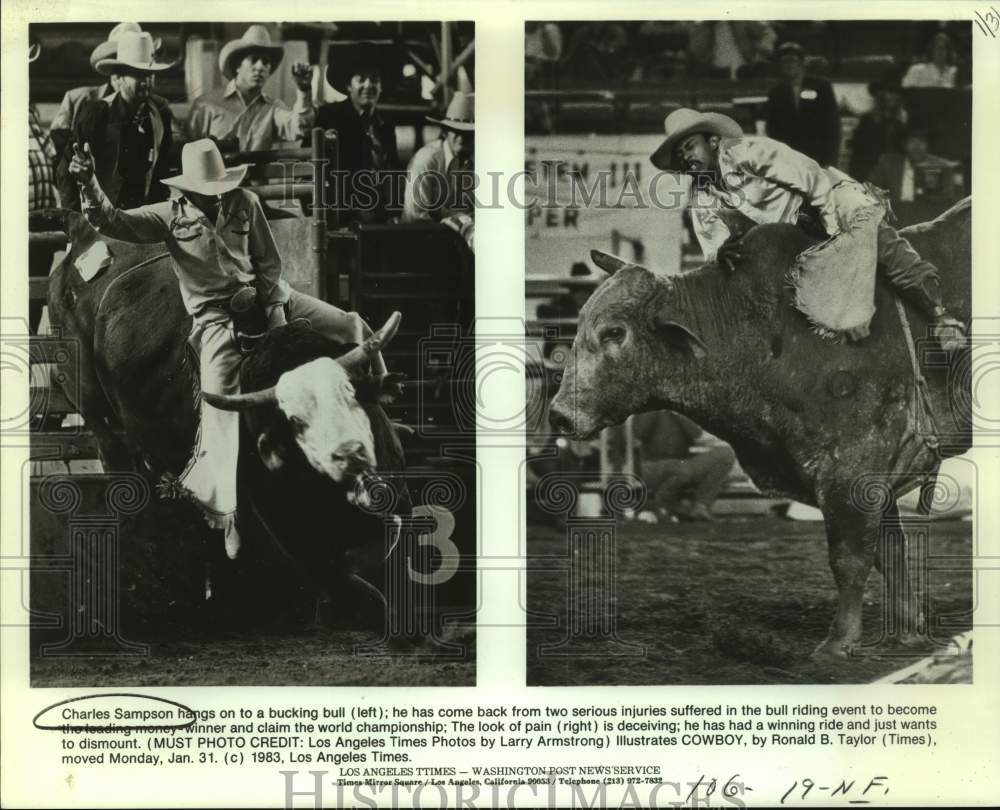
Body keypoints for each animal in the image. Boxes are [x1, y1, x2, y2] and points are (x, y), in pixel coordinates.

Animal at [548, 199, 968, 660]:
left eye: (614, 332)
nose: (560, 415)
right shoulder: (880, 467)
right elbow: (890, 551)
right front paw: (909, 631)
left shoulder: (853, 464)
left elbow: (851, 555)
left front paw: (837, 642)